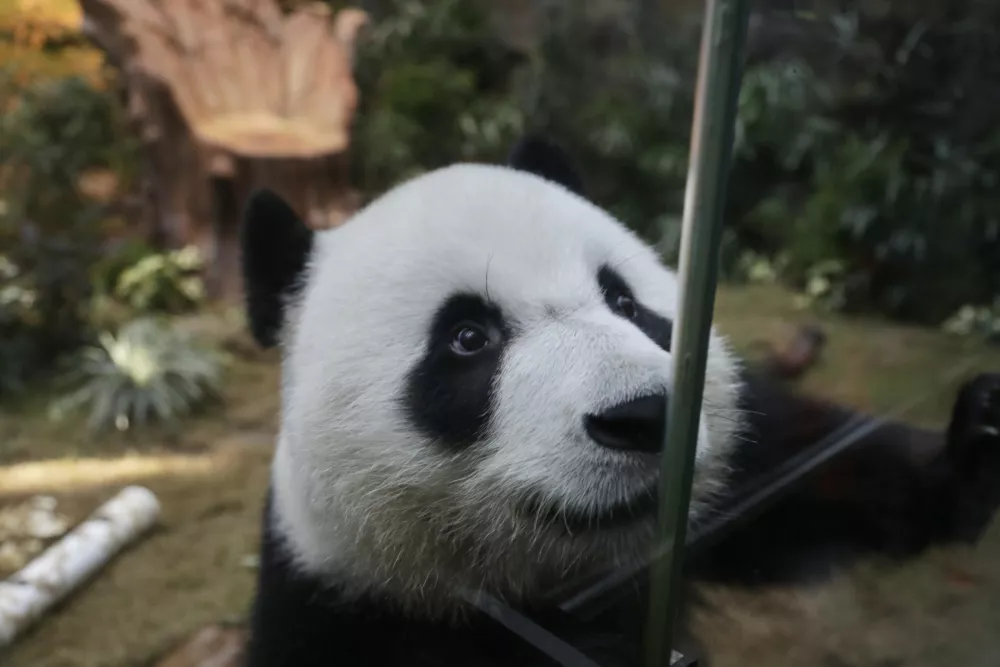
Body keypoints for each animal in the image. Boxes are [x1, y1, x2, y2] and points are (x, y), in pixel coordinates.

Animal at [240, 137, 1000, 667]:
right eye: (467, 338)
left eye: (625, 301)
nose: (644, 418)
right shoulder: (343, 598)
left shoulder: (737, 463)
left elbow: (812, 480)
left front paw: (978, 434)